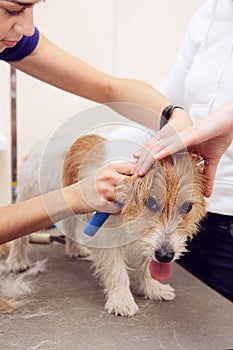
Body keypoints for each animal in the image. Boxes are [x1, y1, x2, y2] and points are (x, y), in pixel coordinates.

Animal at [6, 133, 206, 316]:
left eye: (187, 207)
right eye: (150, 202)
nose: (165, 256)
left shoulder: (151, 243)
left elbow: (147, 265)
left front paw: (152, 288)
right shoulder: (108, 239)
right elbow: (117, 271)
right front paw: (122, 300)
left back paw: (75, 249)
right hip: (31, 195)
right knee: (21, 237)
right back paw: (17, 259)